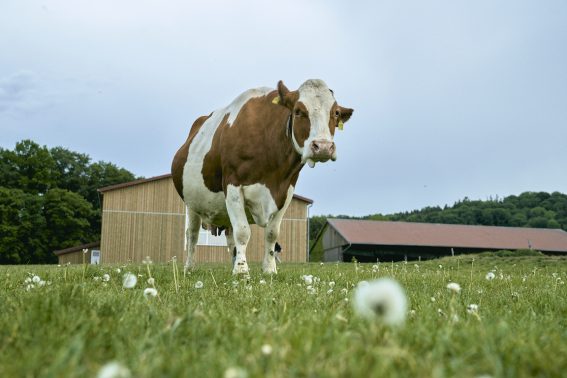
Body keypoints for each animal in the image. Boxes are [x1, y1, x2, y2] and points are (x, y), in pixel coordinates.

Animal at [171, 79, 352, 274]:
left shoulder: (285, 192)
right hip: (192, 203)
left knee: (230, 238)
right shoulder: (232, 185)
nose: (324, 147)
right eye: (298, 111)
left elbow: (272, 234)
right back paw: (189, 268)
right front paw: (242, 271)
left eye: (336, 112)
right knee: (192, 234)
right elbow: (243, 231)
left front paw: (269, 269)